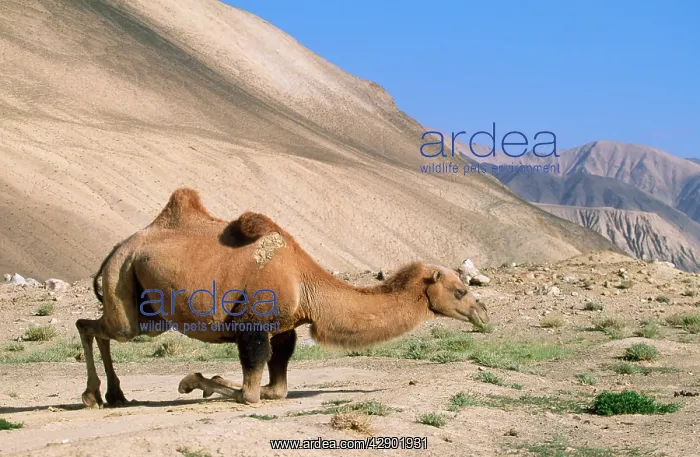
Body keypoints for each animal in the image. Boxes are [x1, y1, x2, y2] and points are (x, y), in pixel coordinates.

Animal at [77, 187, 489, 408]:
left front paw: (204, 380)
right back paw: (96, 395)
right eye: (460, 289)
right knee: (91, 325)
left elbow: (277, 388)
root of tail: (116, 249)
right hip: (123, 281)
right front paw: (191, 381)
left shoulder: (284, 330)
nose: (483, 313)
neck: (306, 284)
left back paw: (112, 395)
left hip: (150, 310)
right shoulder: (253, 327)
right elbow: (250, 394)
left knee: (96, 326)